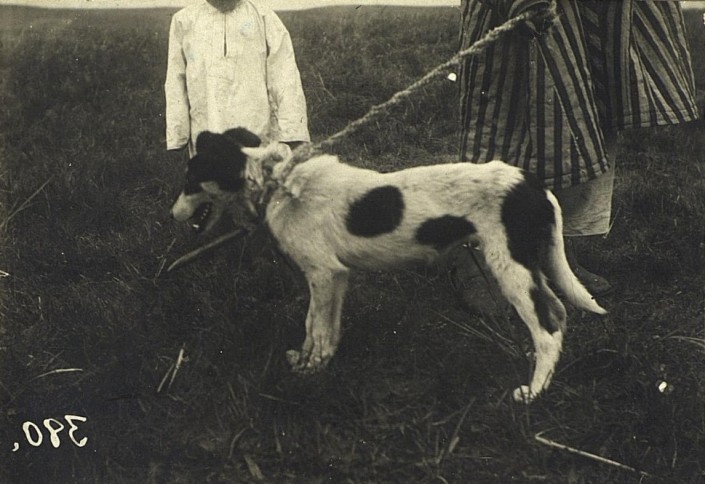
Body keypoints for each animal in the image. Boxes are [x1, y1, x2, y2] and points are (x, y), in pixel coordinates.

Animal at [170, 128, 607, 402]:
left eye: (191, 179)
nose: (172, 215)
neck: (279, 181)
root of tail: (534, 185)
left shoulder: (323, 274)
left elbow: (317, 326)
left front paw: (312, 371)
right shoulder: (335, 277)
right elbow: (321, 327)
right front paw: (313, 361)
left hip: (510, 267)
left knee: (547, 328)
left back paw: (533, 392)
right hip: (528, 265)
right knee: (557, 313)